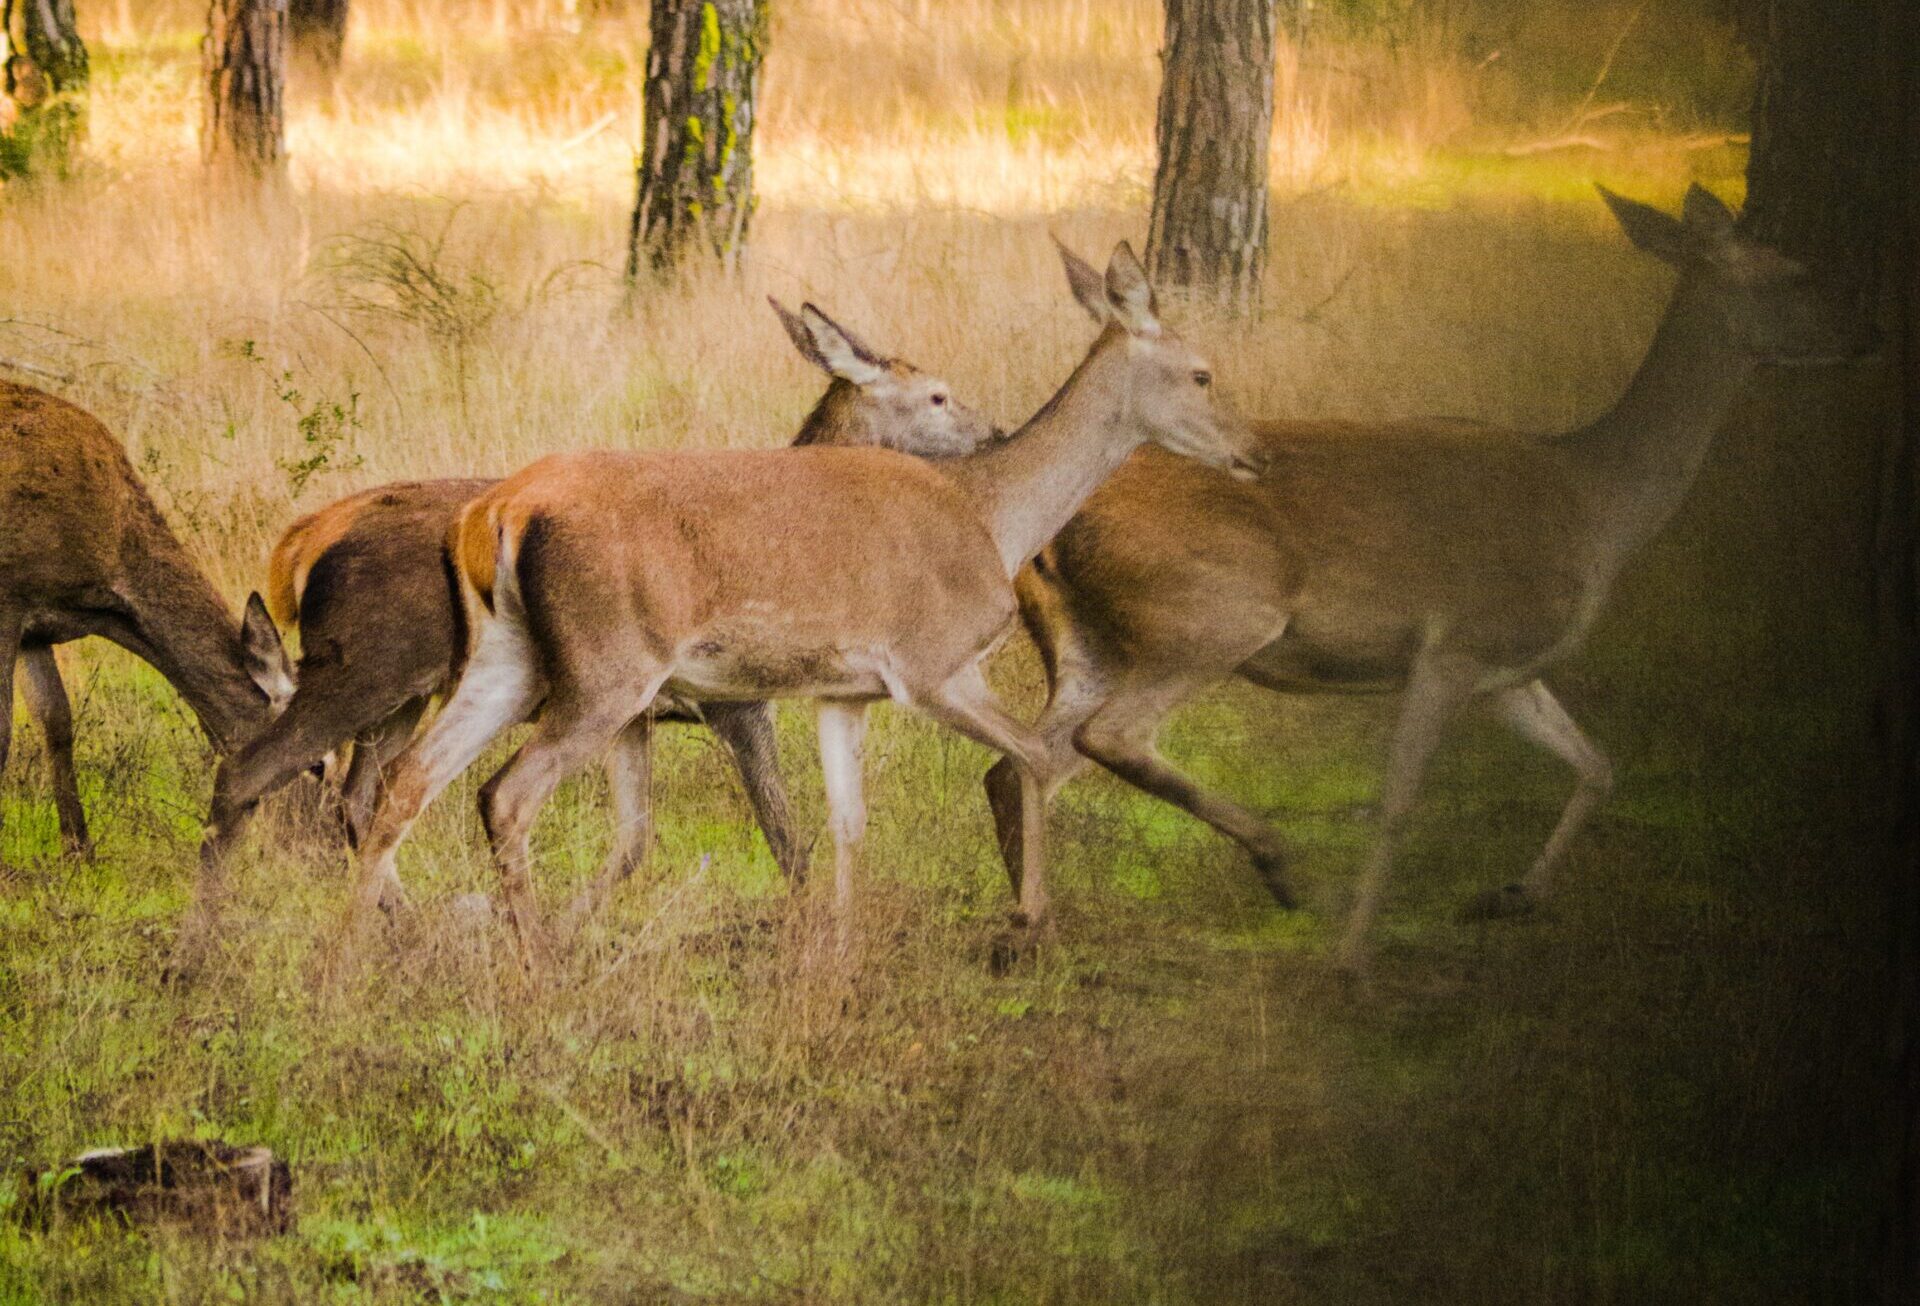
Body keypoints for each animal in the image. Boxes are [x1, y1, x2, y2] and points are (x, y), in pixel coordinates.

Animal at [0, 379, 293, 871]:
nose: (333, 849)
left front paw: (80, 851)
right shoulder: (7, 597)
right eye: (321, 766)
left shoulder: (35, 625)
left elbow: (56, 720)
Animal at [191, 301, 1005, 920]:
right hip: (363, 667)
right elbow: (784, 834)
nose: (994, 431)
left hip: (407, 696)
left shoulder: (640, 716)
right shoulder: (739, 702)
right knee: (257, 770)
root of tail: (302, 543)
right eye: (937, 394)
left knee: (364, 797)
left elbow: (637, 840)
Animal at [335, 241, 1261, 973]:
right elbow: (1030, 756)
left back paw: (347, 960)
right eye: (1203, 373)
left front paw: (837, 953)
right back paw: (534, 966)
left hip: (510, 659)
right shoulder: (933, 664)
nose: (1252, 452)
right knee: (503, 794)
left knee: (406, 782)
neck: (992, 520)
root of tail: (496, 512)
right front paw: (1030, 924)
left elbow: (847, 819)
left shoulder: (842, 691)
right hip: (608, 667)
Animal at [983, 185, 1859, 974]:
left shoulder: (1509, 669)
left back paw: (1031, 930)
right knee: (1108, 739)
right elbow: (1401, 801)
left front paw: (1505, 897)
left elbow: (1598, 765)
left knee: (1024, 761)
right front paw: (1351, 958)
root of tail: (1046, 539)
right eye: (1795, 274)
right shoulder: (1456, 643)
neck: (1599, 506)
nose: (1869, 332)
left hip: (1091, 641)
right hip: (1216, 616)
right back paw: (1279, 869)